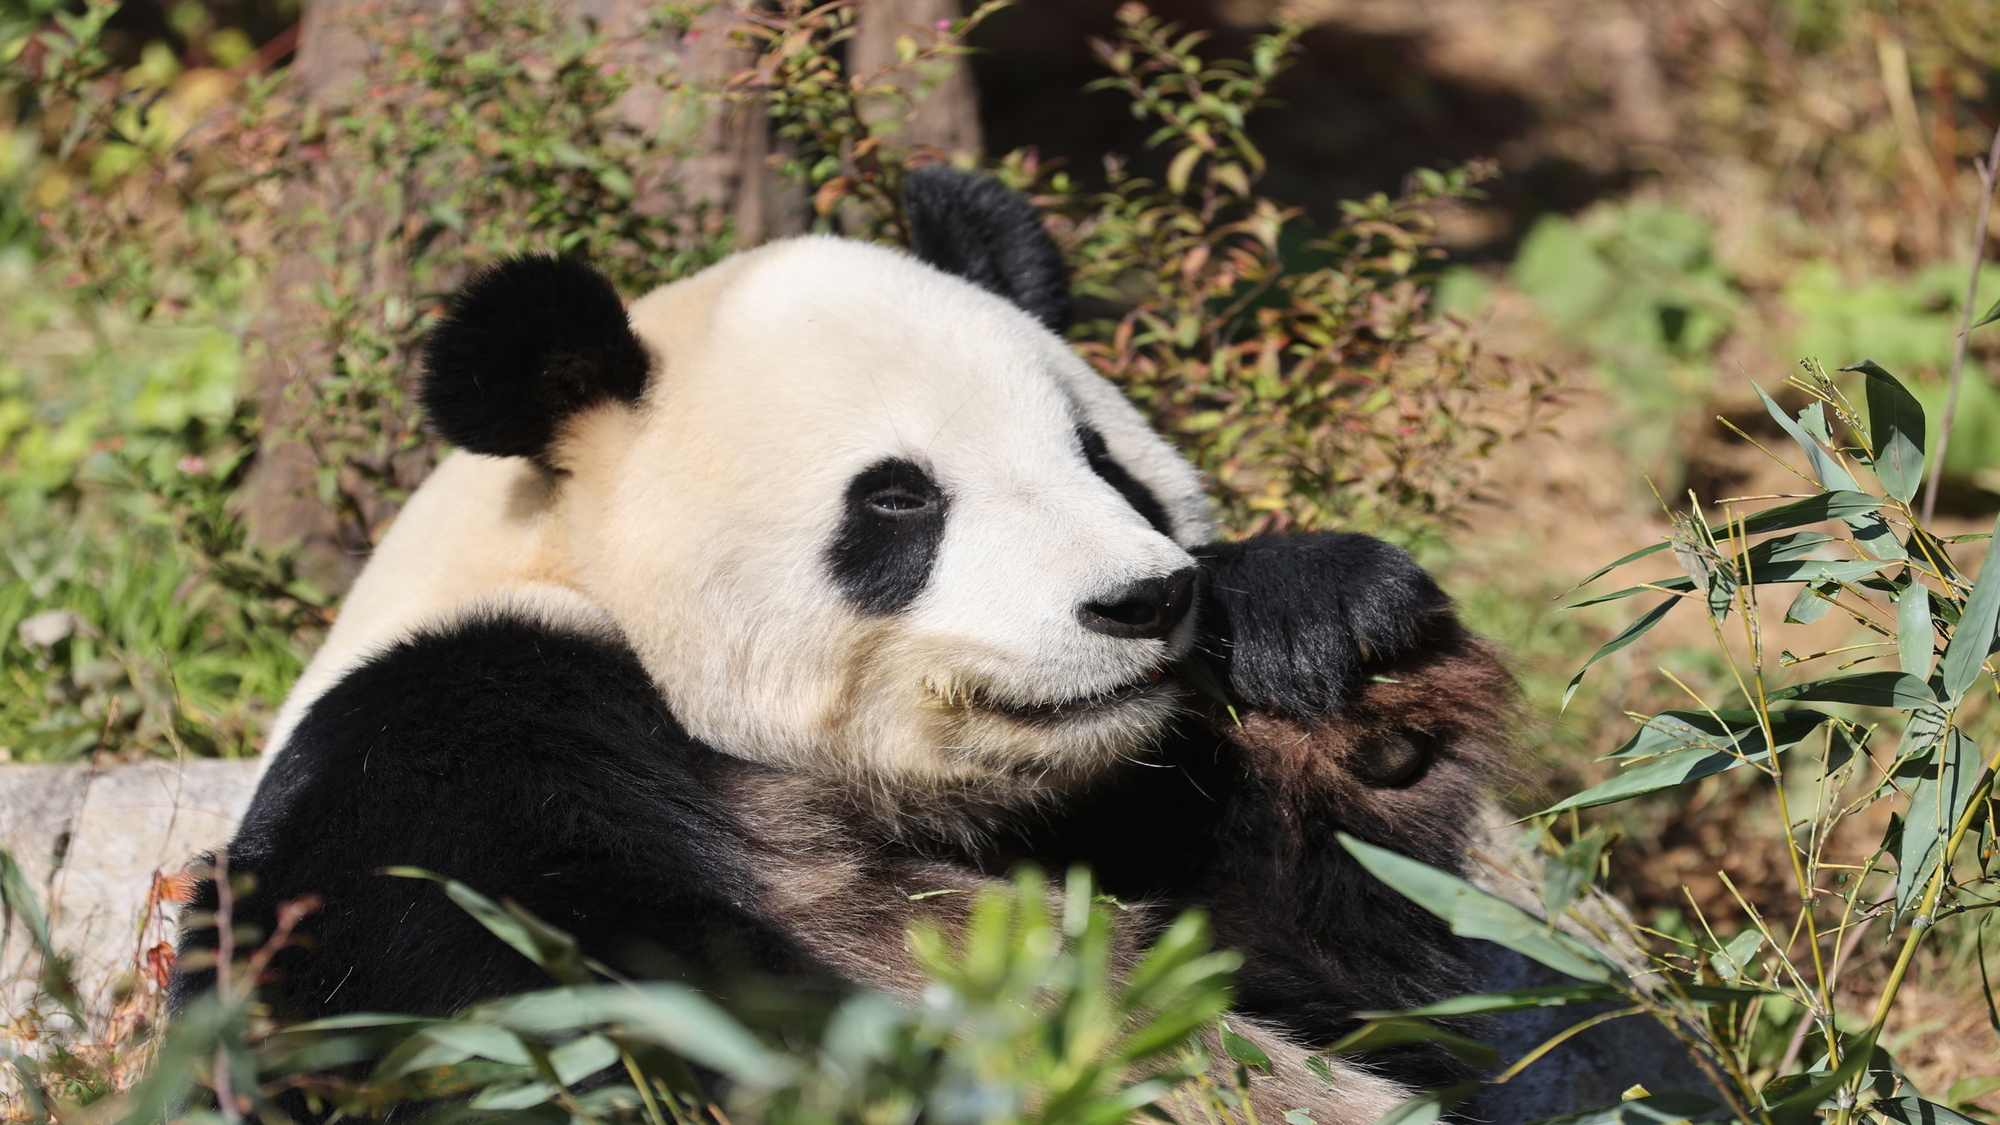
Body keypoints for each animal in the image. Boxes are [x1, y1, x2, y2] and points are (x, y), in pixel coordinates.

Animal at [180, 168, 1512, 1120]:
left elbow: (1387, 995)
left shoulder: (1116, 817)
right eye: (898, 499)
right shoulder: (451, 733)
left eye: (1101, 461)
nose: (1139, 602)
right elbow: (509, 1010)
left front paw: (1339, 655)